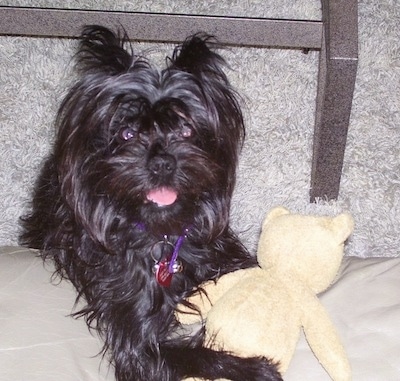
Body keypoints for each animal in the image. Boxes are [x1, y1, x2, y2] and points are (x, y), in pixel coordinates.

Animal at [19, 26, 282, 380]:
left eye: (186, 130)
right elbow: (194, 354)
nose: (162, 162)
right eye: (128, 134)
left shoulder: (225, 257)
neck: (163, 235)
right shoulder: (139, 345)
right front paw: (255, 367)